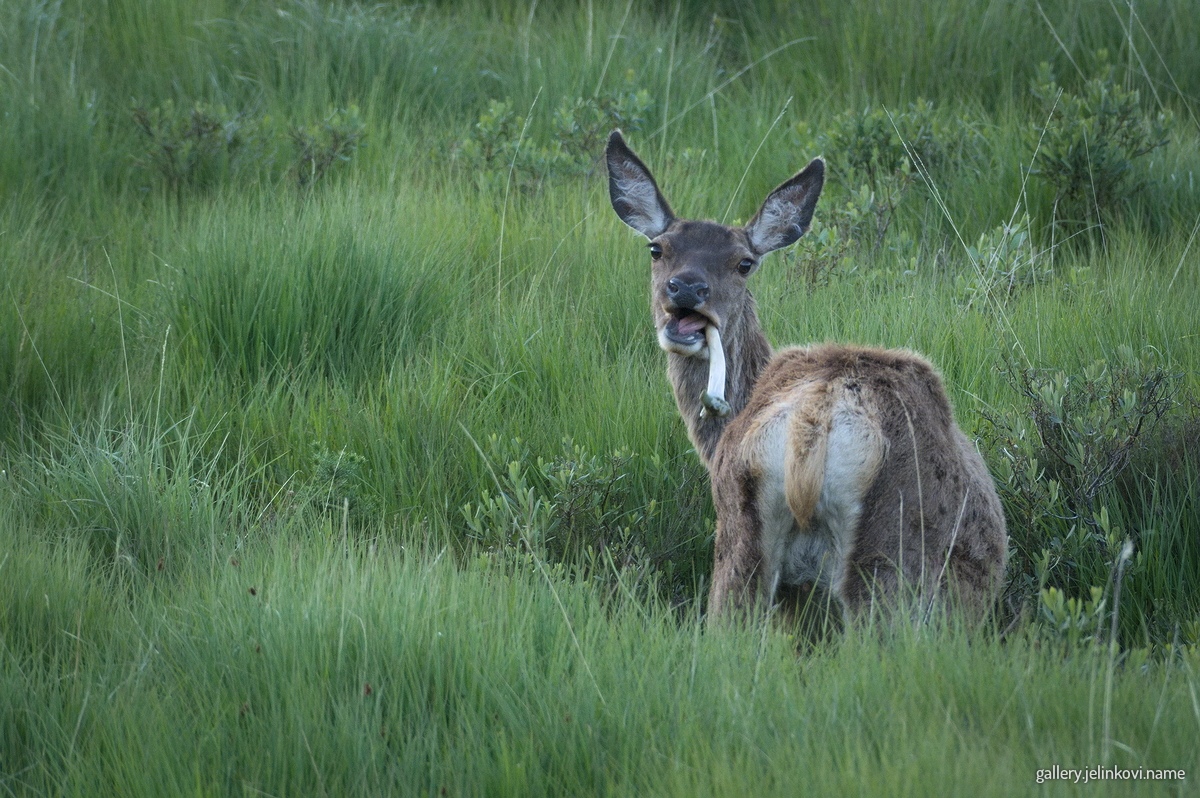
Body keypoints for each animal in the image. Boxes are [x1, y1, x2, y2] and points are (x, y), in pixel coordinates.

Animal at [605, 130, 1007, 628]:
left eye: (744, 262)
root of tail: (811, 423)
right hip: (891, 553)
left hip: (742, 538)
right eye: (657, 249)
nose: (687, 287)